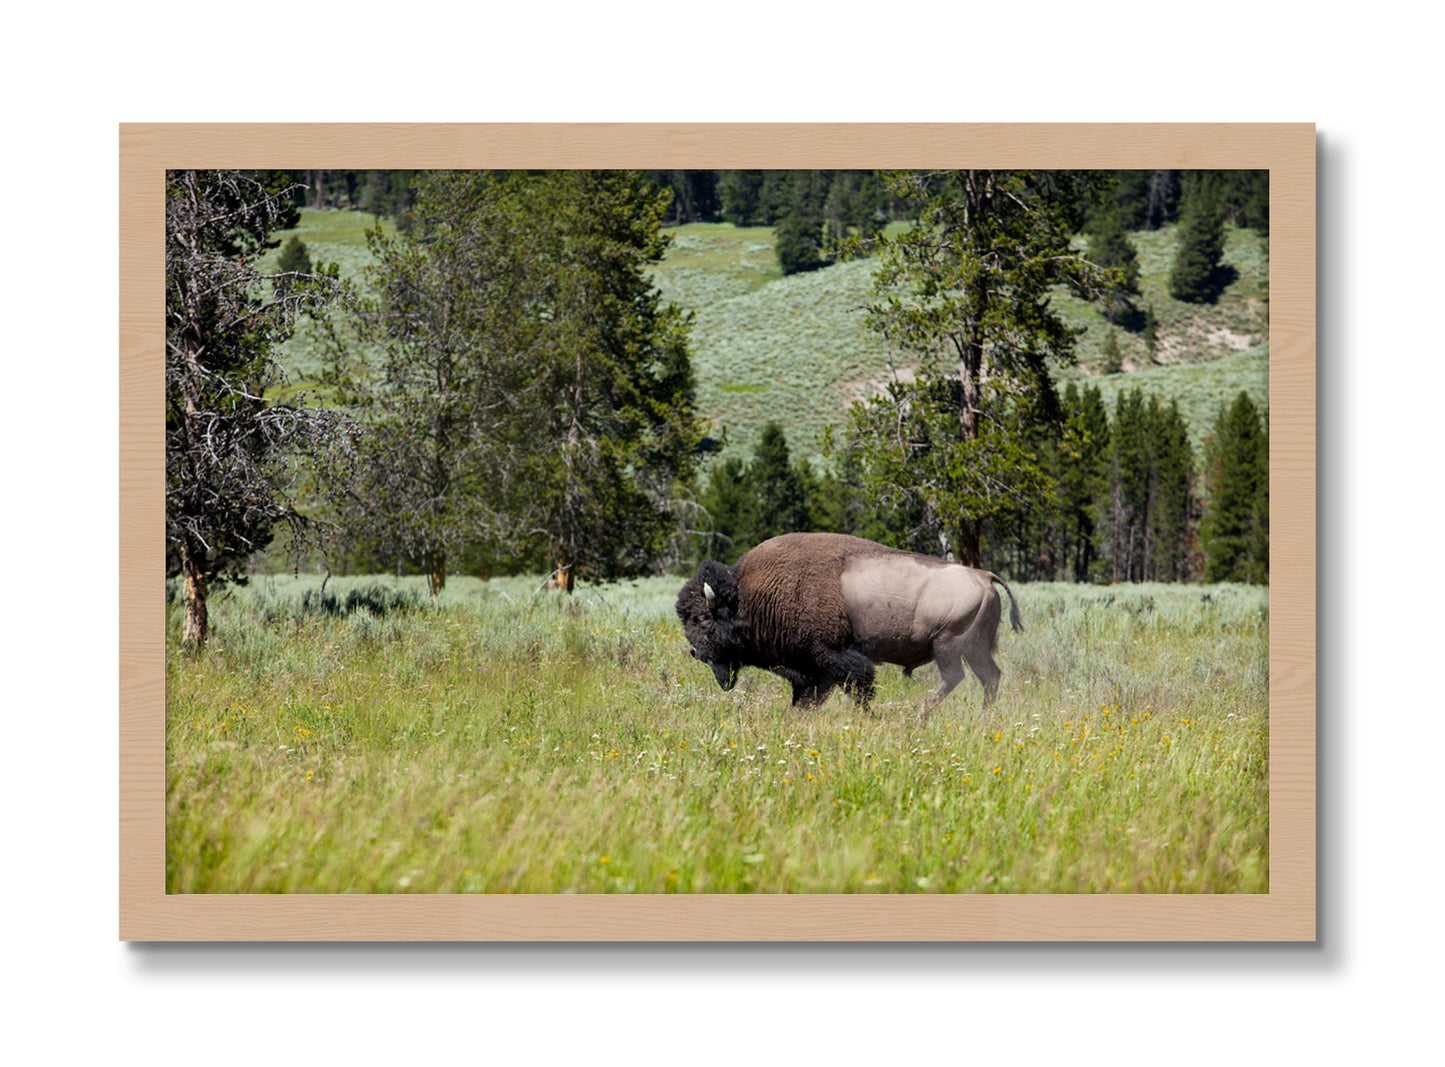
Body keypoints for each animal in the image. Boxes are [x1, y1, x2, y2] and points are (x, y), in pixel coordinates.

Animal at [675, 532, 1023, 711]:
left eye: (703, 619)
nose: (695, 652)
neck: (749, 595)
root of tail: (984, 575)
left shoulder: (833, 657)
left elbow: (859, 688)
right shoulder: (813, 670)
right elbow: (808, 698)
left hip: (948, 646)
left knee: (955, 678)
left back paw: (920, 715)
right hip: (974, 649)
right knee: (990, 677)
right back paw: (982, 715)